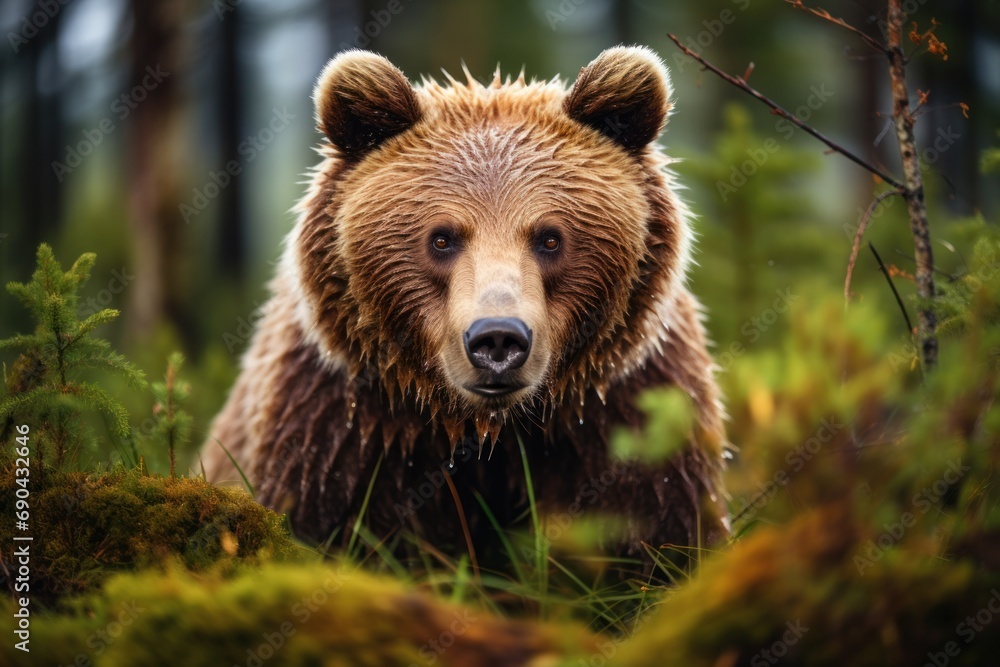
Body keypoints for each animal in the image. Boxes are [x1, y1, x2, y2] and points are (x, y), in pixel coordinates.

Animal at [202, 46, 728, 570]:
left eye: (550, 238)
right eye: (442, 238)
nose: (497, 338)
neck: (486, 430)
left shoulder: (626, 414)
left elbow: (655, 533)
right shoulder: (339, 428)